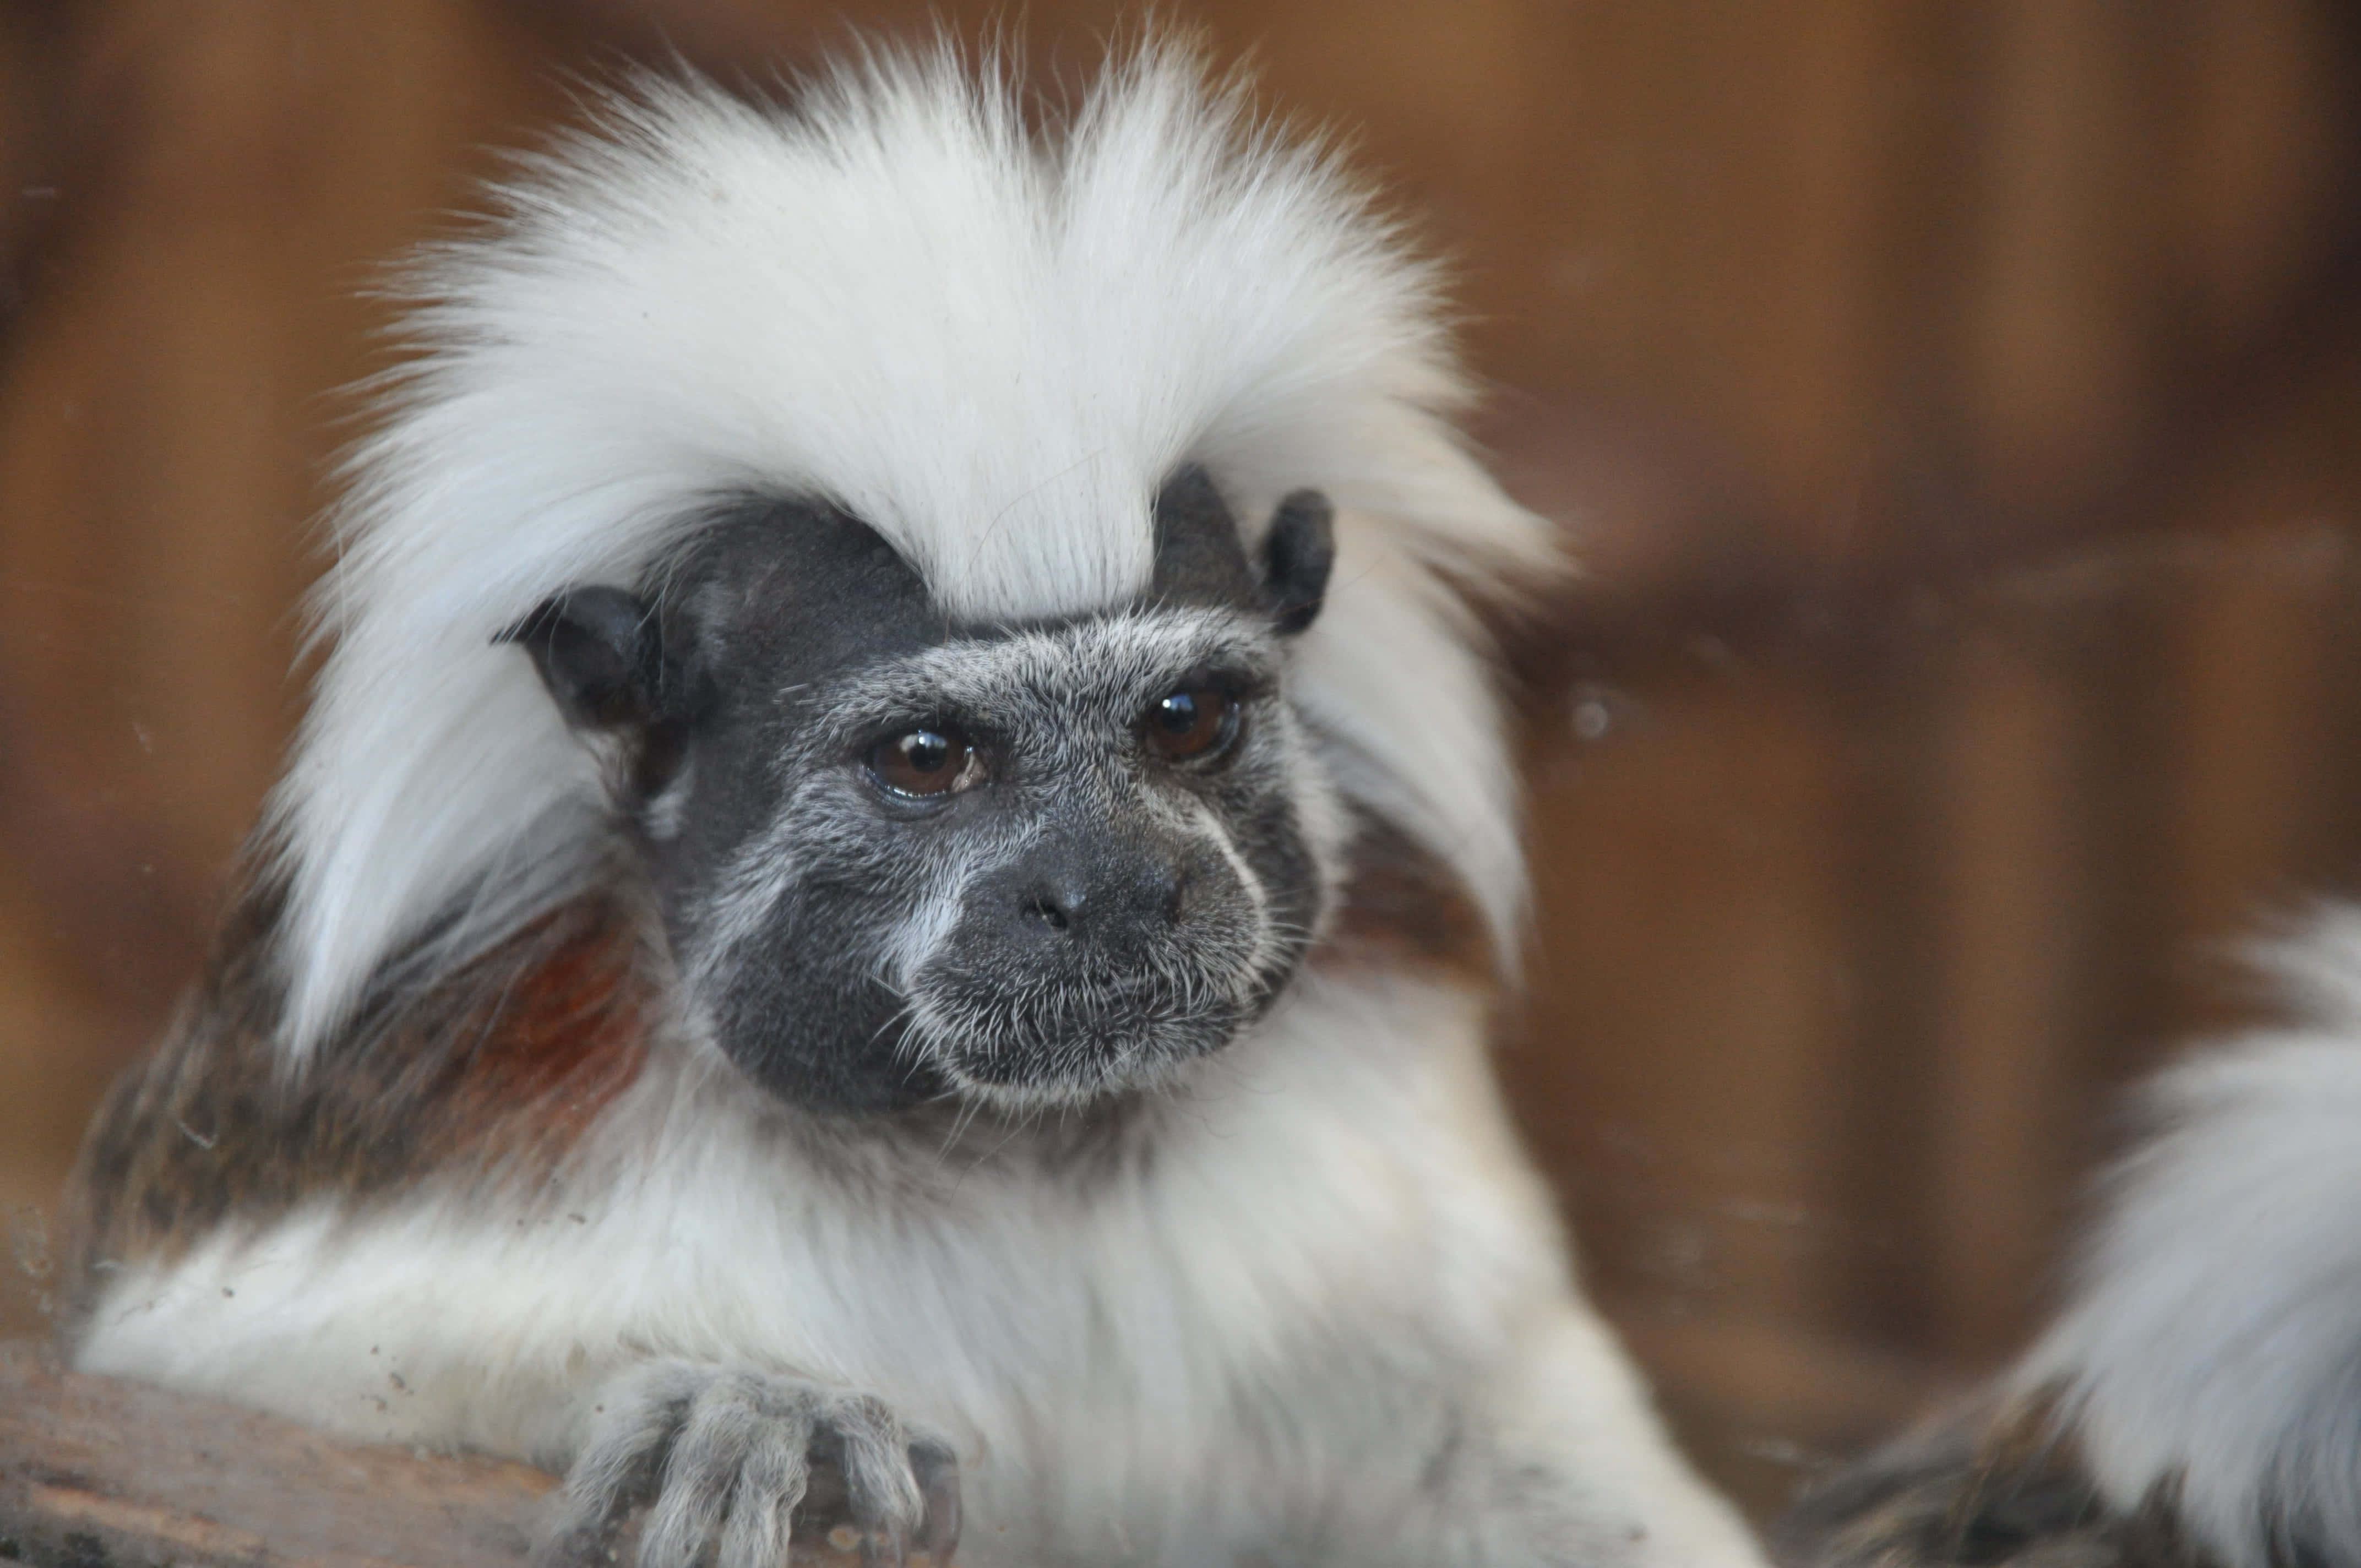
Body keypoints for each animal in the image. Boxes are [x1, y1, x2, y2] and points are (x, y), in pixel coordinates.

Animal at [57, 41, 1768, 1568]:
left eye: (1186, 722)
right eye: (929, 758)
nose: (1111, 888)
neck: (1013, 1157)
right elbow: (193, 1380)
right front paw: (733, 1405)